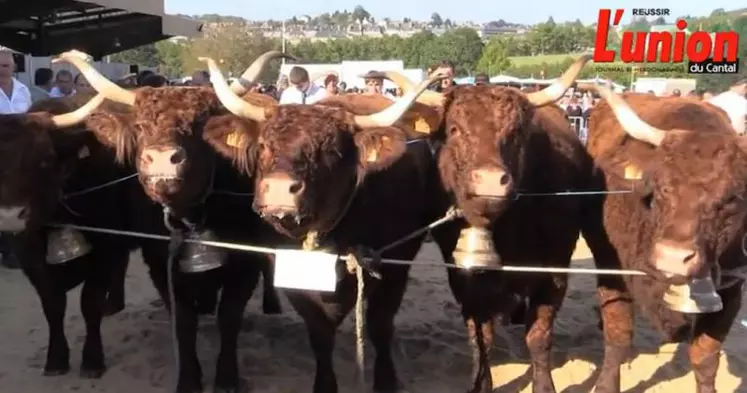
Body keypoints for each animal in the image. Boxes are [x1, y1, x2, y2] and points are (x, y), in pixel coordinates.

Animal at [0, 94, 136, 376]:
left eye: (45, 160)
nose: (9, 215)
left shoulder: (106, 248)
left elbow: (89, 302)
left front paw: (92, 360)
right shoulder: (31, 260)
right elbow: (53, 306)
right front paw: (56, 359)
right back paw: (114, 304)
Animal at [56, 50, 292, 392]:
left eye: (199, 125)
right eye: (141, 126)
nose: (162, 159)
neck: (189, 217)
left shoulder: (245, 262)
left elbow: (230, 316)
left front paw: (227, 377)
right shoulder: (159, 262)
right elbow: (183, 322)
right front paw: (189, 379)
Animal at [205, 56, 448, 390]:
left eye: (330, 150)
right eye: (264, 145)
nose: (279, 188)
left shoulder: (397, 264)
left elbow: (380, 324)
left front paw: (386, 380)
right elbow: (320, 332)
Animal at [388, 56, 592, 392]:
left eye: (515, 131)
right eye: (455, 129)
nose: (489, 182)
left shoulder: (555, 273)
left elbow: (539, 336)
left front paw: (543, 385)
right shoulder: (465, 280)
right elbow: (480, 337)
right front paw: (480, 383)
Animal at [584, 85, 747, 392]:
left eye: (733, 198)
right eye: (660, 187)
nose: (673, 257)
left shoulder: (732, 289)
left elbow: (705, 357)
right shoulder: (612, 267)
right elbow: (618, 334)